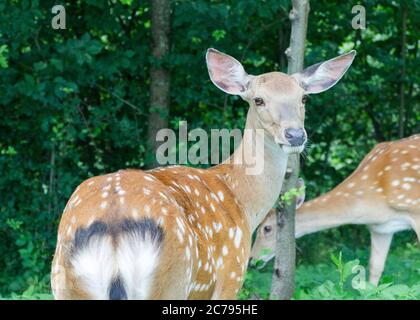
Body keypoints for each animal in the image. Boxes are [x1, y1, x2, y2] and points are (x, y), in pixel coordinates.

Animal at [50, 48, 356, 300]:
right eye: (258, 100)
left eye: (303, 98)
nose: (295, 135)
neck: (242, 201)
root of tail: (113, 224)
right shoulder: (231, 272)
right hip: (172, 280)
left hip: (63, 284)